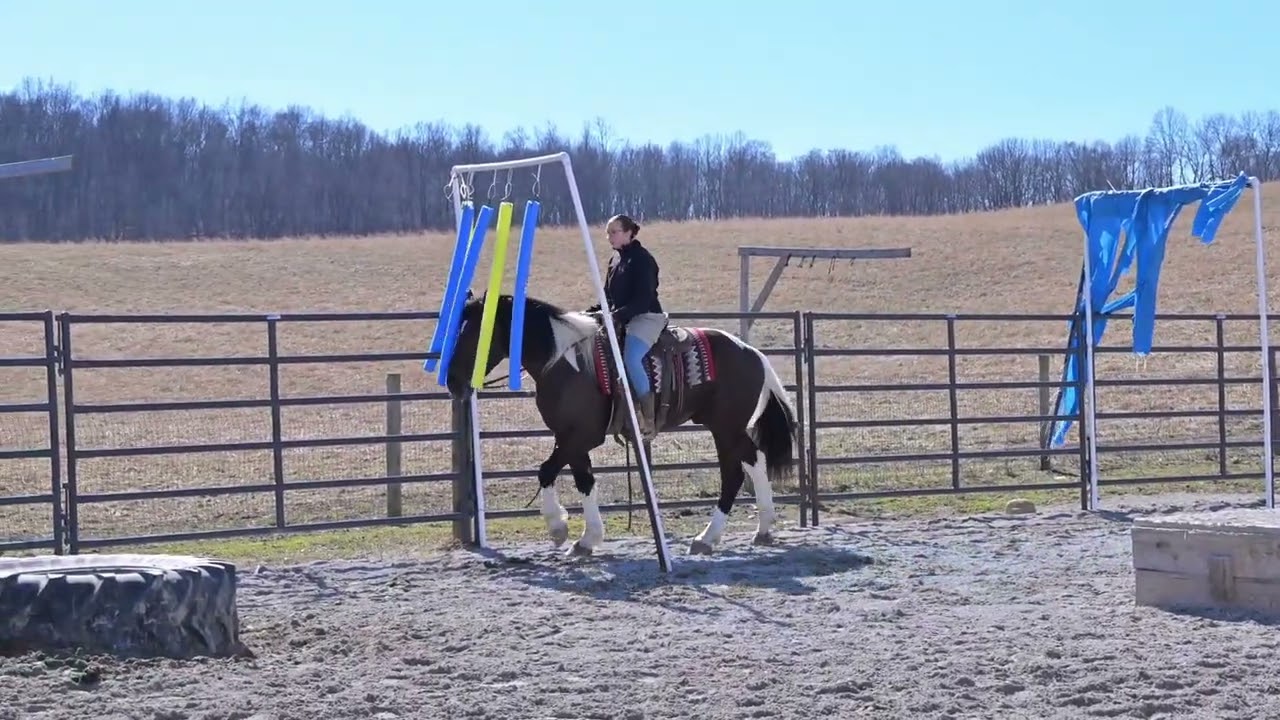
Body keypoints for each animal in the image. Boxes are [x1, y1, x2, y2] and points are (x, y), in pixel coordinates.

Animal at [441, 290, 800, 557]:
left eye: (474, 333)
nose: (453, 382)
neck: (565, 362)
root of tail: (752, 352)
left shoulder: (582, 436)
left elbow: (546, 471)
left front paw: (559, 528)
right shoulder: (569, 437)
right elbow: (582, 480)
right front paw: (586, 539)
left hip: (725, 428)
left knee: (734, 474)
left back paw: (707, 538)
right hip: (727, 427)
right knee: (754, 460)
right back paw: (762, 528)